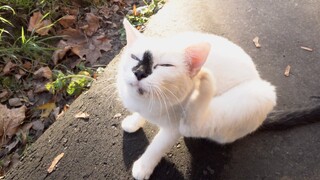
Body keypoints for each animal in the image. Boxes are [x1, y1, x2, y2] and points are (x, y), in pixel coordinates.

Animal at [116, 19, 276, 179]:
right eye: (134, 57)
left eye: (165, 65)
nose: (139, 72)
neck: (149, 101)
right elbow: (139, 114)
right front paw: (134, 121)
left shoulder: (172, 130)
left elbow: (157, 146)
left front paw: (144, 166)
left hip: (260, 95)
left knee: (192, 127)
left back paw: (204, 79)